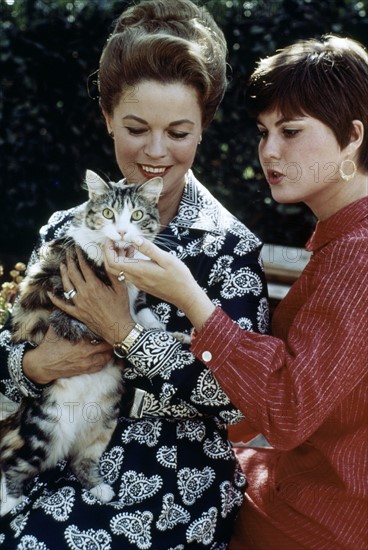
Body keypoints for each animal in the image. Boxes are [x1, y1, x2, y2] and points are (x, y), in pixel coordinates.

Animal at [0, 170, 164, 520]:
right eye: (108, 214)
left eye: (137, 215)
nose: (121, 230)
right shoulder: (60, 287)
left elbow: (140, 307)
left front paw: (157, 327)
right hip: (44, 430)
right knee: (14, 465)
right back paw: (8, 501)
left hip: (102, 425)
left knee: (80, 461)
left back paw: (99, 488)